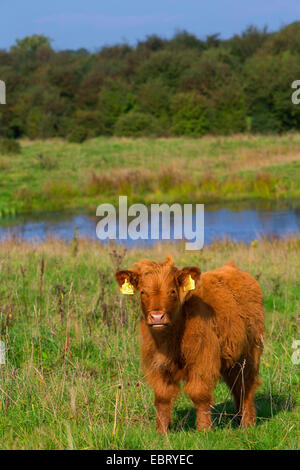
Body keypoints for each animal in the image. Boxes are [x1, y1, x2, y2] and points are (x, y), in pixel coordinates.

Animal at [115, 258, 264, 434]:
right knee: (237, 387)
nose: (157, 316)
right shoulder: (157, 364)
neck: (169, 341)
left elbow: (199, 394)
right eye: (143, 292)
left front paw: (204, 430)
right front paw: (162, 431)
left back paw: (247, 423)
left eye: (172, 291)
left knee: (245, 386)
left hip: (249, 354)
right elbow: (162, 397)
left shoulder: (202, 360)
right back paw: (239, 418)